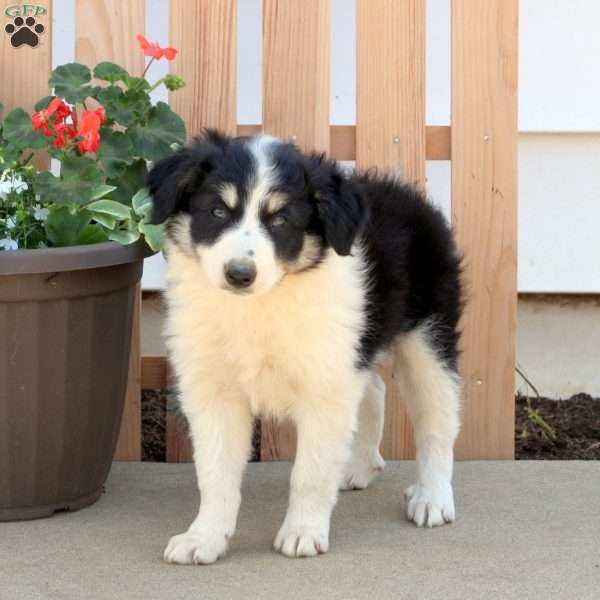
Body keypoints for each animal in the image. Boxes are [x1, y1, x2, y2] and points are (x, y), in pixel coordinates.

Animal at [148, 130, 462, 564]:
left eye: (281, 220)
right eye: (217, 212)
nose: (239, 275)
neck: (259, 305)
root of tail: (404, 190)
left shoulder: (324, 389)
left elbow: (309, 474)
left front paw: (302, 533)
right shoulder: (215, 391)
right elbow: (215, 475)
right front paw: (204, 538)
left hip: (428, 338)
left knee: (437, 420)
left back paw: (432, 498)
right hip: (354, 346)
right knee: (374, 390)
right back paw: (359, 467)